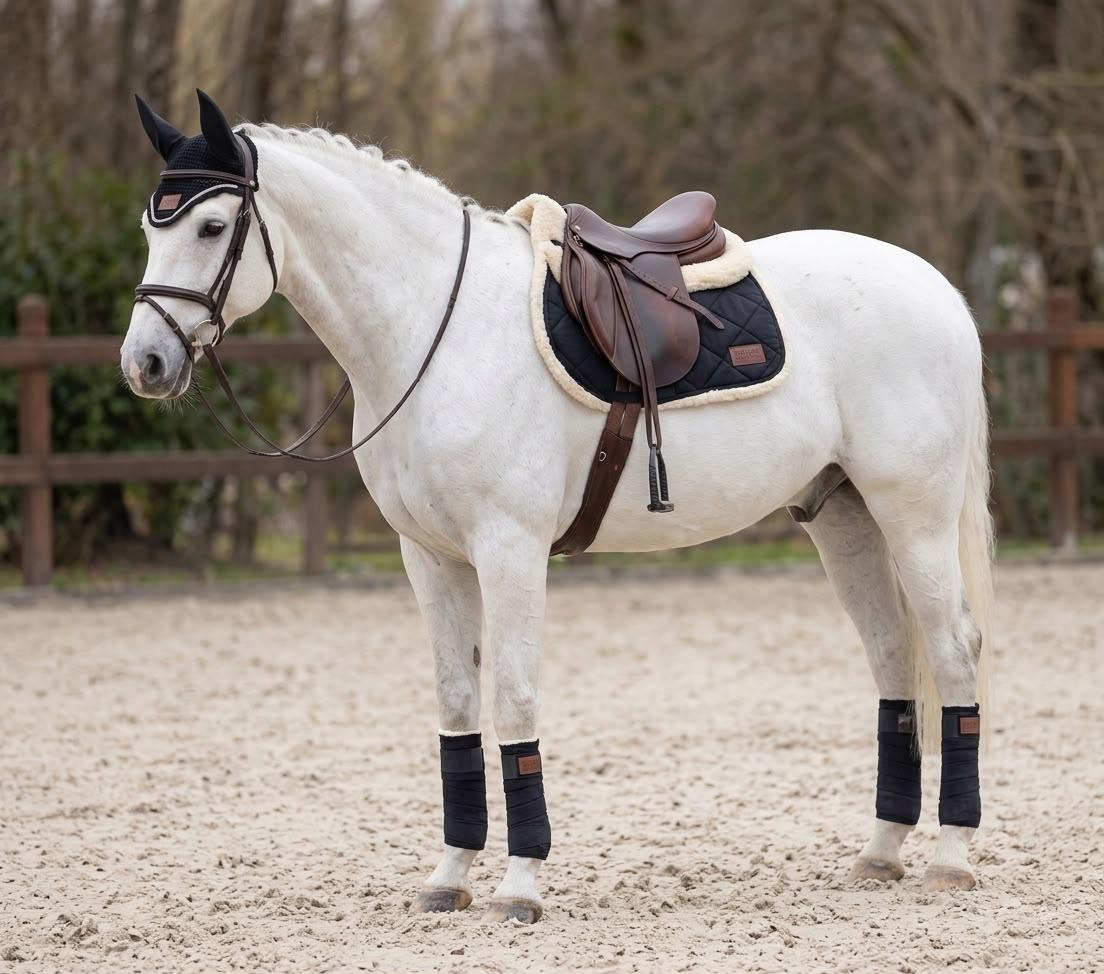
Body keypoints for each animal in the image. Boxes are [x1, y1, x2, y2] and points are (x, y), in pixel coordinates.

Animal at [121, 90, 993, 924]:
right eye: (149, 228)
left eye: (211, 225)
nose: (145, 364)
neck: (435, 330)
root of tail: (938, 289)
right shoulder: (429, 557)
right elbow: (457, 704)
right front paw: (450, 877)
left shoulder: (509, 549)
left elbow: (513, 701)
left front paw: (520, 883)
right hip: (843, 517)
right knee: (892, 658)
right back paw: (881, 851)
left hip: (912, 517)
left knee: (952, 653)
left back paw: (951, 858)